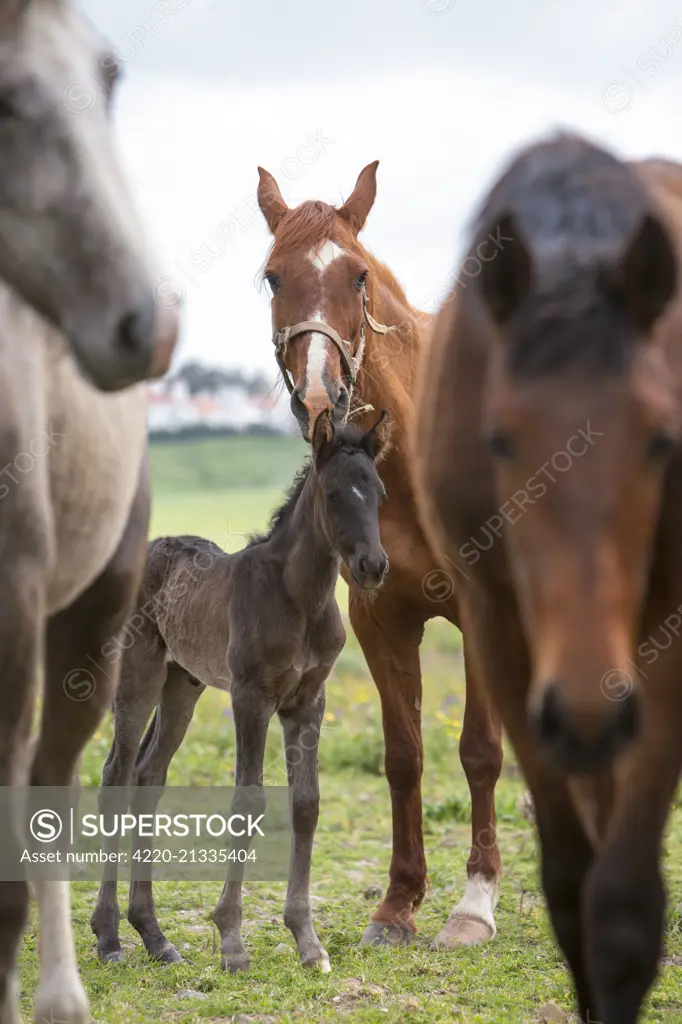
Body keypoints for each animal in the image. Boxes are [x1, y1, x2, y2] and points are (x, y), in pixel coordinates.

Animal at [91, 411, 387, 970]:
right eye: (334, 493)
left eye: (380, 492)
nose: (374, 566)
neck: (300, 599)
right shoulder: (250, 698)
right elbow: (247, 802)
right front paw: (232, 942)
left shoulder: (308, 702)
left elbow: (306, 803)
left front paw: (308, 942)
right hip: (140, 675)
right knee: (116, 774)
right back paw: (109, 937)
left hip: (182, 685)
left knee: (148, 775)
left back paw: (155, 937)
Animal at [251, 163, 501, 946]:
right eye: (273, 276)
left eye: (357, 275)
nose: (319, 396)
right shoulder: (380, 621)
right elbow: (403, 757)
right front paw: (398, 905)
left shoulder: (483, 619)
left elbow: (479, 751)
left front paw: (473, 904)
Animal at [409, 132, 682, 1019]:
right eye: (498, 438)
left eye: (662, 438)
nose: (589, 709)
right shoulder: (501, 634)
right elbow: (570, 891)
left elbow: (624, 907)